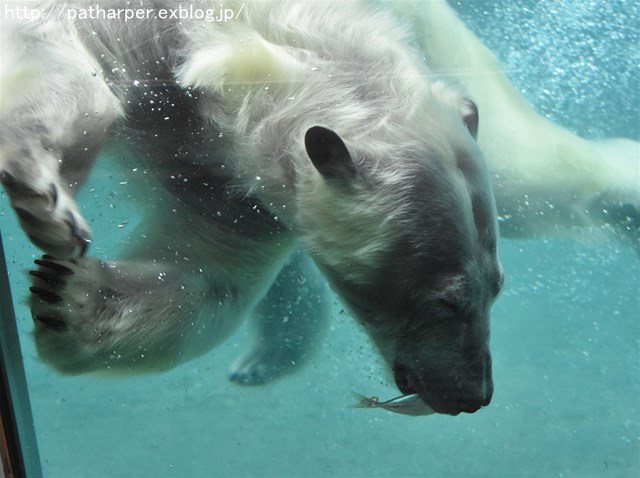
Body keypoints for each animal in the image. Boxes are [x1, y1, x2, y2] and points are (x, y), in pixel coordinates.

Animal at [0, 0, 504, 414]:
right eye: (445, 301)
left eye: (496, 288)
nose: (472, 394)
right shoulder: (139, 38)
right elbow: (57, 52)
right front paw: (43, 198)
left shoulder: (240, 190)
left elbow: (207, 272)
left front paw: (65, 297)